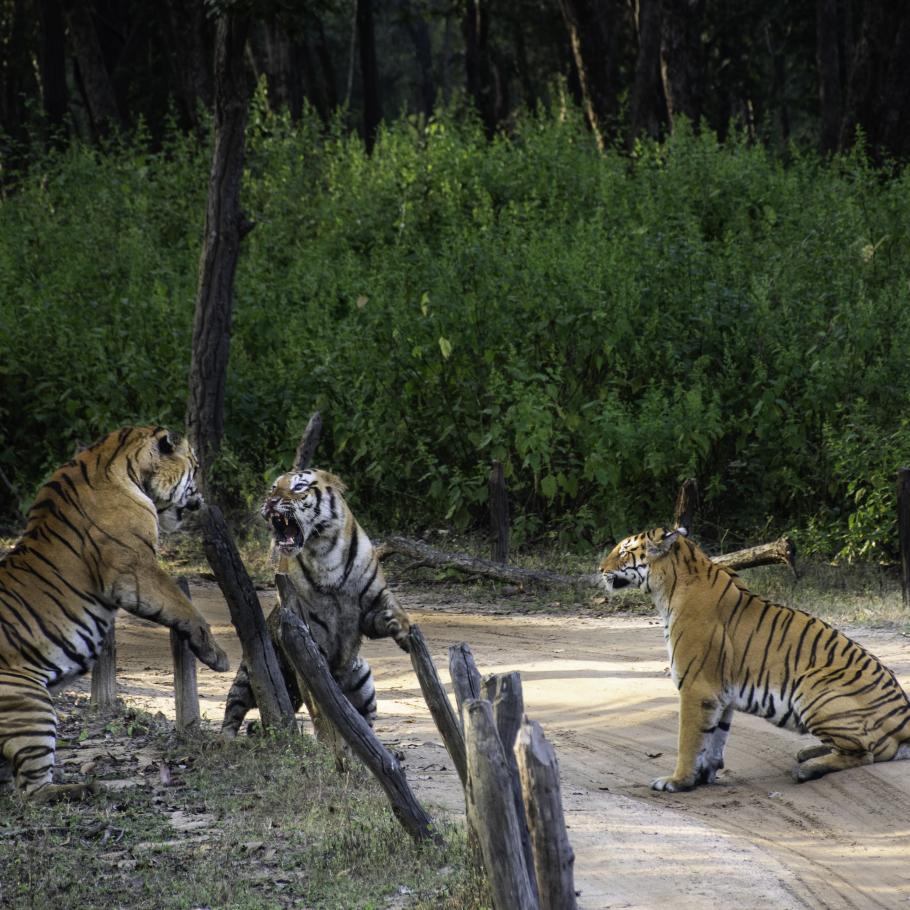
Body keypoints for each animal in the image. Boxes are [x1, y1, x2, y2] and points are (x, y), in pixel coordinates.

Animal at [219, 470, 412, 740]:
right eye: (273, 488)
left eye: (299, 486)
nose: (270, 501)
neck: (325, 552)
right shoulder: (307, 638)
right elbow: (319, 707)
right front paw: (325, 740)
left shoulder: (371, 605)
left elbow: (394, 608)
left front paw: (404, 632)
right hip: (248, 676)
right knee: (233, 711)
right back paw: (226, 739)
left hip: (363, 680)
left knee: (362, 723)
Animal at [600, 528, 910, 792]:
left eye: (624, 551)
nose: (600, 570)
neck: (668, 587)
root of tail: (904, 714)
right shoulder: (719, 693)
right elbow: (715, 738)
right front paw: (703, 776)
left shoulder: (696, 687)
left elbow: (689, 740)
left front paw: (677, 781)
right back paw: (806, 752)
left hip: (815, 687)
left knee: (866, 752)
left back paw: (807, 768)